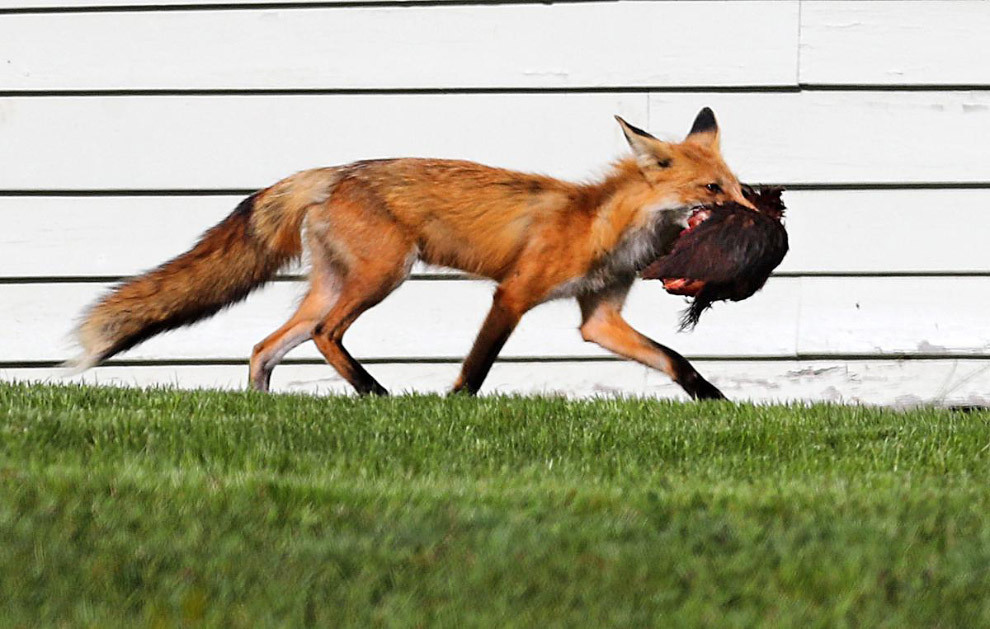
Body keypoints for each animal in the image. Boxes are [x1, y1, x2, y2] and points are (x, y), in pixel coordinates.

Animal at [75, 108, 760, 400]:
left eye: (735, 185)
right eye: (712, 190)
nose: (760, 216)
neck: (603, 225)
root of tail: (332, 173)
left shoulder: (600, 318)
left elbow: (675, 360)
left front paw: (716, 404)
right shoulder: (513, 293)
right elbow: (479, 365)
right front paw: (455, 409)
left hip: (334, 284)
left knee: (265, 347)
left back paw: (262, 412)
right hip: (383, 276)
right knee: (324, 335)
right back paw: (374, 393)